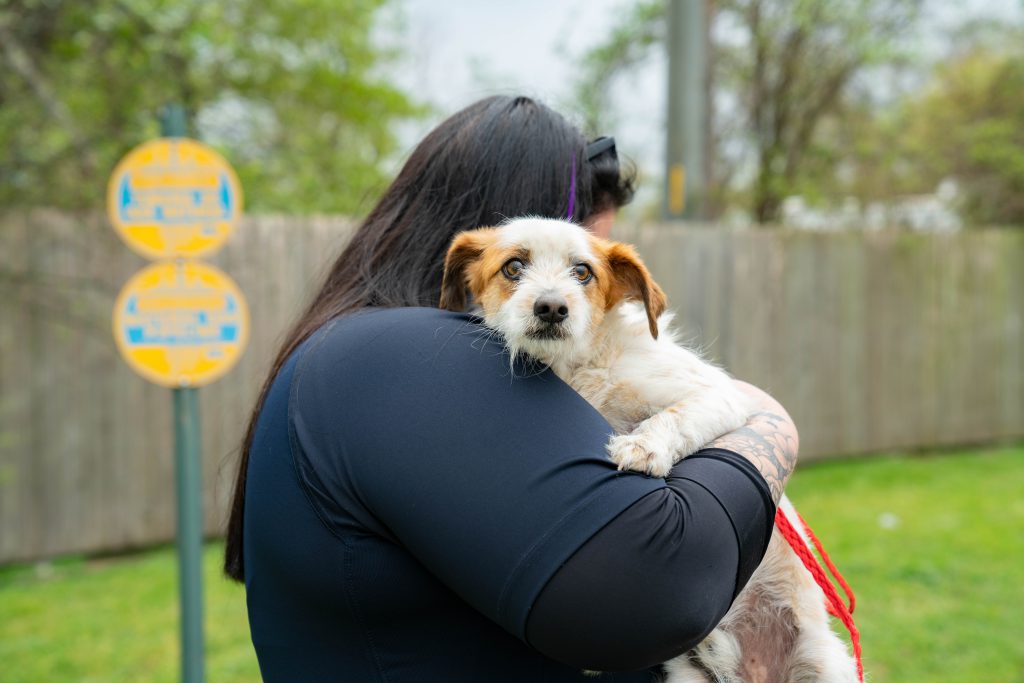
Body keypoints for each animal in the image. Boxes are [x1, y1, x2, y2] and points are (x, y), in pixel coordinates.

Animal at [442, 219, 864, 683]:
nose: (551, 308)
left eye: (583, 272)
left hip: (826, 664)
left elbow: (673, 418)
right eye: (513, 267)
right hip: (687, 674)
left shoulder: (718, 396)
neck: (578, 366)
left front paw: (643, 447)